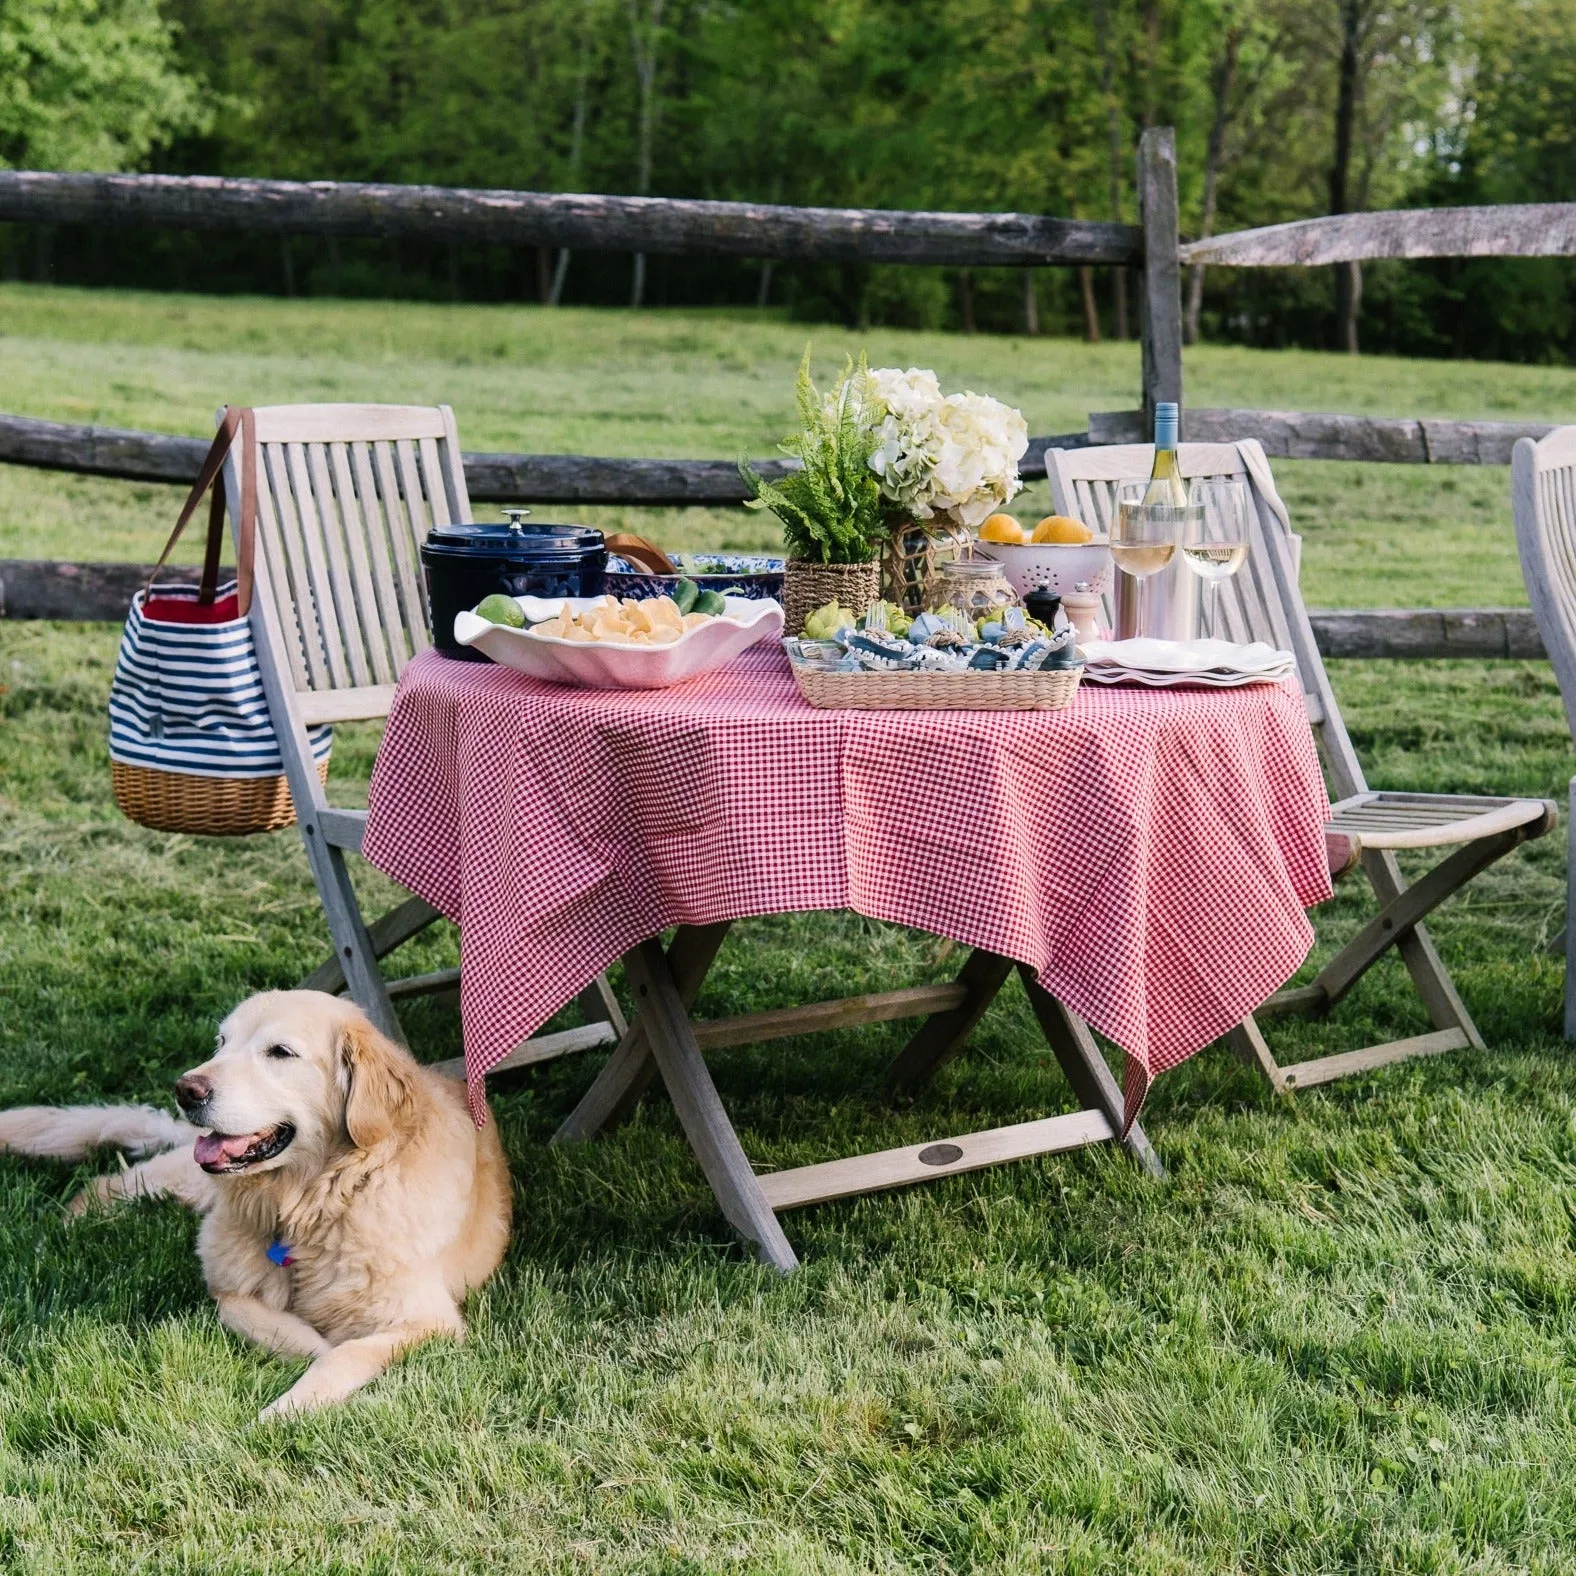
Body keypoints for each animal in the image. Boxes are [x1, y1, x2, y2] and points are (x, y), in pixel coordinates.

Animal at [0, 996, 510, 1418]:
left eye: (280, 1052)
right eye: (221, 1042)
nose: (185, 1089)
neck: (311, 1207)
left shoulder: (431, 1322)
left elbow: (347, 1353)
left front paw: (287, 1409)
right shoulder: (227, 1290)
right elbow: (274, 1325)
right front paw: (309, 1350)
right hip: (187, 1182)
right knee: (110, 1183)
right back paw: (69, 1224)